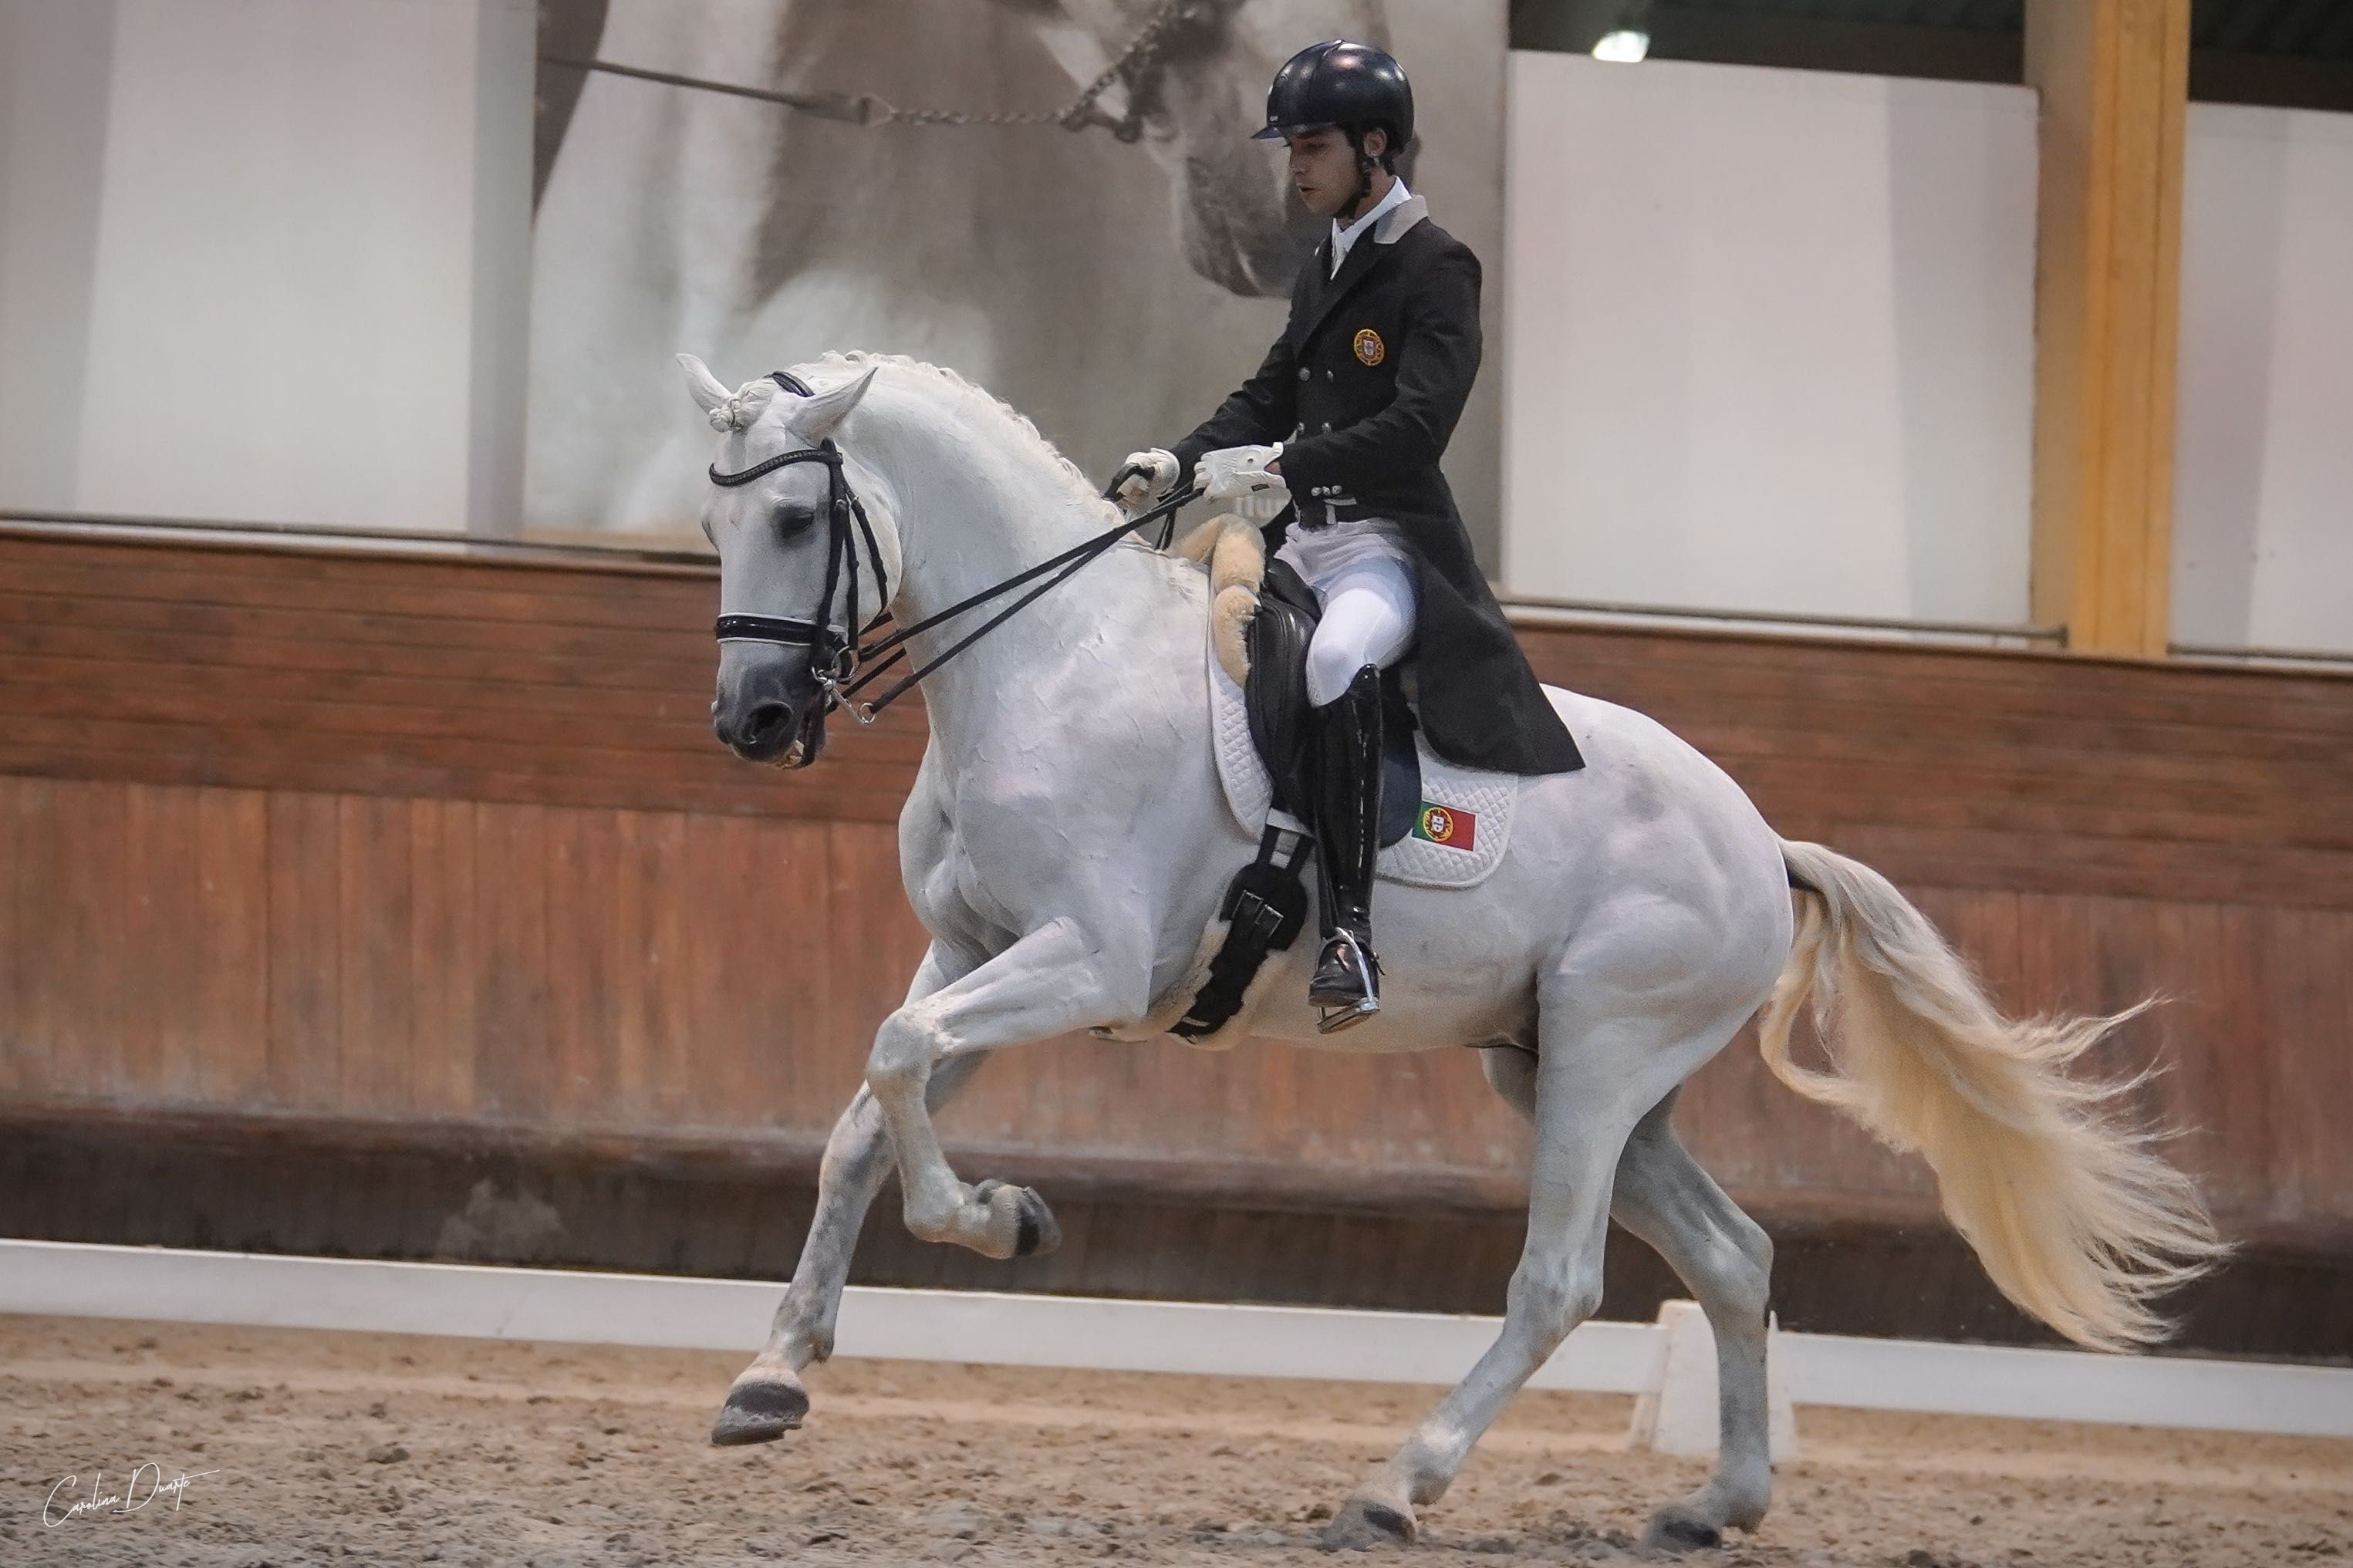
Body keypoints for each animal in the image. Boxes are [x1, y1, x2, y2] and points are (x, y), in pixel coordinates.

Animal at [682, 352, 2221, 1542]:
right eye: (714, 521)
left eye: (801, 514)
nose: (753, 720)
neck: (1054, 659)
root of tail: (1761, 842)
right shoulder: (971, 945)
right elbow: (867, 1111)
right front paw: (773, 1374)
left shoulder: (1087, 960)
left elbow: (897, 1070)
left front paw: (1003, 1218)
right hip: (1560, 1071)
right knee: (1732, 1258)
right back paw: (1715, 1501)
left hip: (1603, 1052)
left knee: (1559, 1281)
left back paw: (1396, 1484)